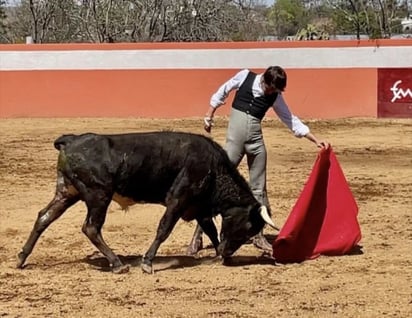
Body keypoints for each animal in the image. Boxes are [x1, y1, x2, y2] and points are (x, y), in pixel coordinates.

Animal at [16, 132, 276, 274]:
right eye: (247, 228)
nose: (228, 252)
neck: (213, 167)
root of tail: (70, 141)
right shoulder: (178, 200)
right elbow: (164, 229)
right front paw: (147, 262)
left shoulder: (198, 207)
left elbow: (211, 229)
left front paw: (218, 255)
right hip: (98, 195)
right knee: (90, 227)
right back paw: (117, 264)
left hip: (67, 192)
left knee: (44, 217)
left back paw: (21, 258)